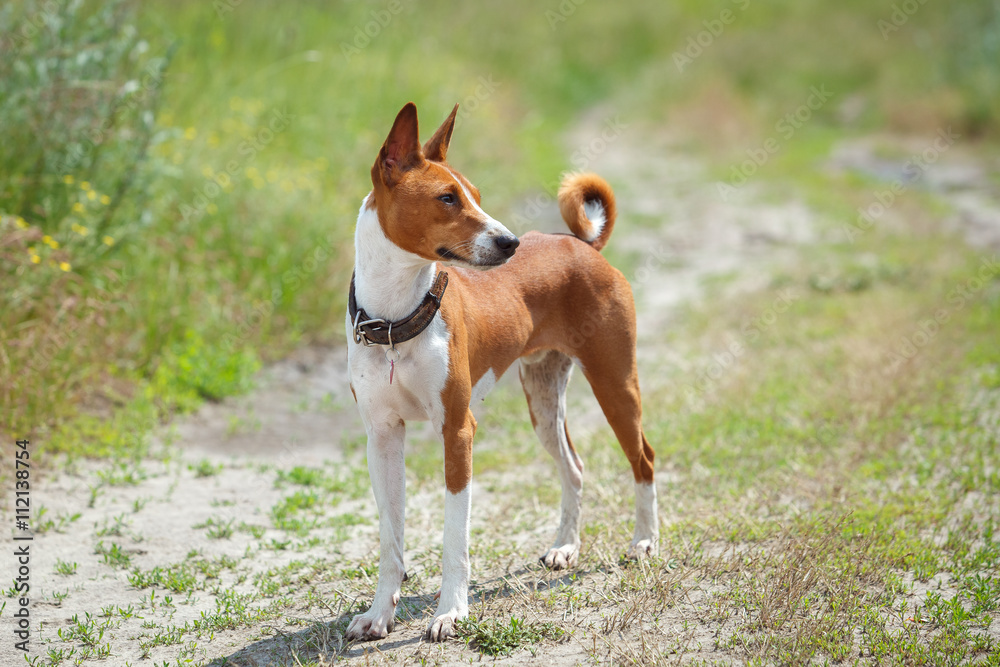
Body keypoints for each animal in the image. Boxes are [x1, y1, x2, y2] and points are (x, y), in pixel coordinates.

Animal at [348, 103, 660, 640]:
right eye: (447, 198)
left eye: (475, 195)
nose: (510, 241)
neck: (395, 321)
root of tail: (583, 244)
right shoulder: (382, 436)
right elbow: (391, 540)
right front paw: (378, 614)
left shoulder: (457, 431)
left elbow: (454, 538)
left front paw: (450, 612)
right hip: (543, 402)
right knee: (574, 467)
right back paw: (566, 547)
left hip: (616, 387)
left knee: (644, 459)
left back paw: (643, 542)